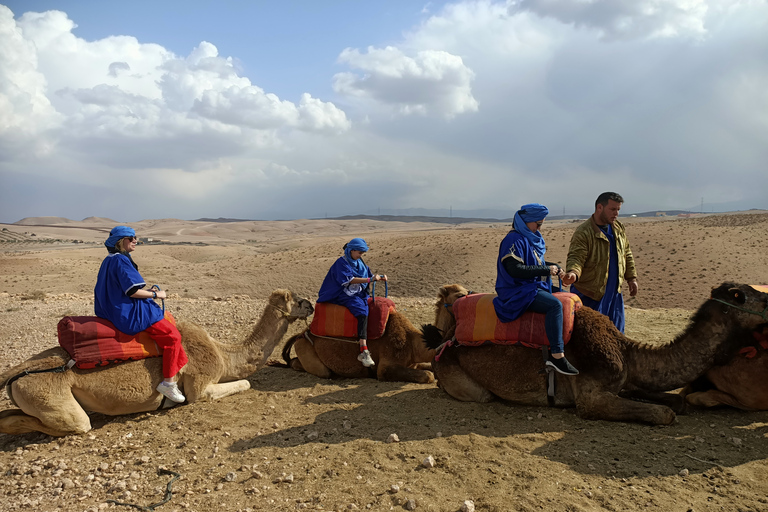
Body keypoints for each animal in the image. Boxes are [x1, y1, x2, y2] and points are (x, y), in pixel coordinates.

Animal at [0, 288, 314, 436]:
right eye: (297, 300)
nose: (311, 304)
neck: (223, 353)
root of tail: (15, 373)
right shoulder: (199, 385)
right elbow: (244, 383)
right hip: (53, 398)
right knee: (76, 422)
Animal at [280, 306, 438, 382]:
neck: (412, 342)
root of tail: (300, 335)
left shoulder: (413, 363)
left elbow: (430, 368)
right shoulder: (386, 366)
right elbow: (428, 375)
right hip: (308, 352)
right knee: (318, 370)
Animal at [424, 284, 768, 424]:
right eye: (749, 296)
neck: (625, 349)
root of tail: (444, 340)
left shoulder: (622, 379)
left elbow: (675, 401)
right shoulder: (591, 397)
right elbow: (664, 413)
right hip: (460, 378)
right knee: (482, 394)